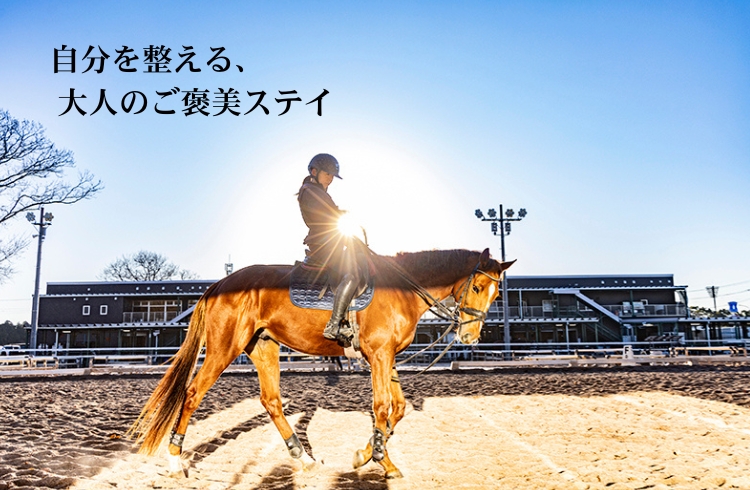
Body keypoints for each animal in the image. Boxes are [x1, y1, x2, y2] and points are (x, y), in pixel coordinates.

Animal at [130, 247, 513, 479]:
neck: (400, 290)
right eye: (477, 287)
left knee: (271, 401)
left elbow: (398, 407)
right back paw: (175, 460)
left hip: (264, 347)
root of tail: (221, 283)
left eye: (497, 293)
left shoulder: (388, 356)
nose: (470, 337)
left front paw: (366, 453)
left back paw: (302, 457)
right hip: (225, 348)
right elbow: (382, 406)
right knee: (193, 392)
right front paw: (381, 461)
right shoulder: (379, 354)